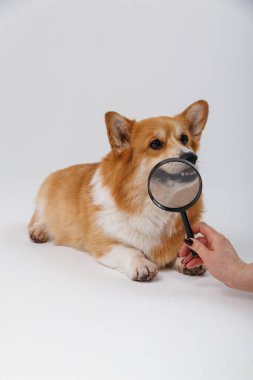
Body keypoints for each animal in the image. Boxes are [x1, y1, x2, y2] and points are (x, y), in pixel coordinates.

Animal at [28, 101, 209, 282]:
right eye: (156, 144)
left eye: (184, 139)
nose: (191, 157)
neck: (154, 204)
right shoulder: (103, 243)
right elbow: (131, 250)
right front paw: (141, 264)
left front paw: (189, 258)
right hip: (44, 200)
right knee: (37, 218)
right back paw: (38, 231)